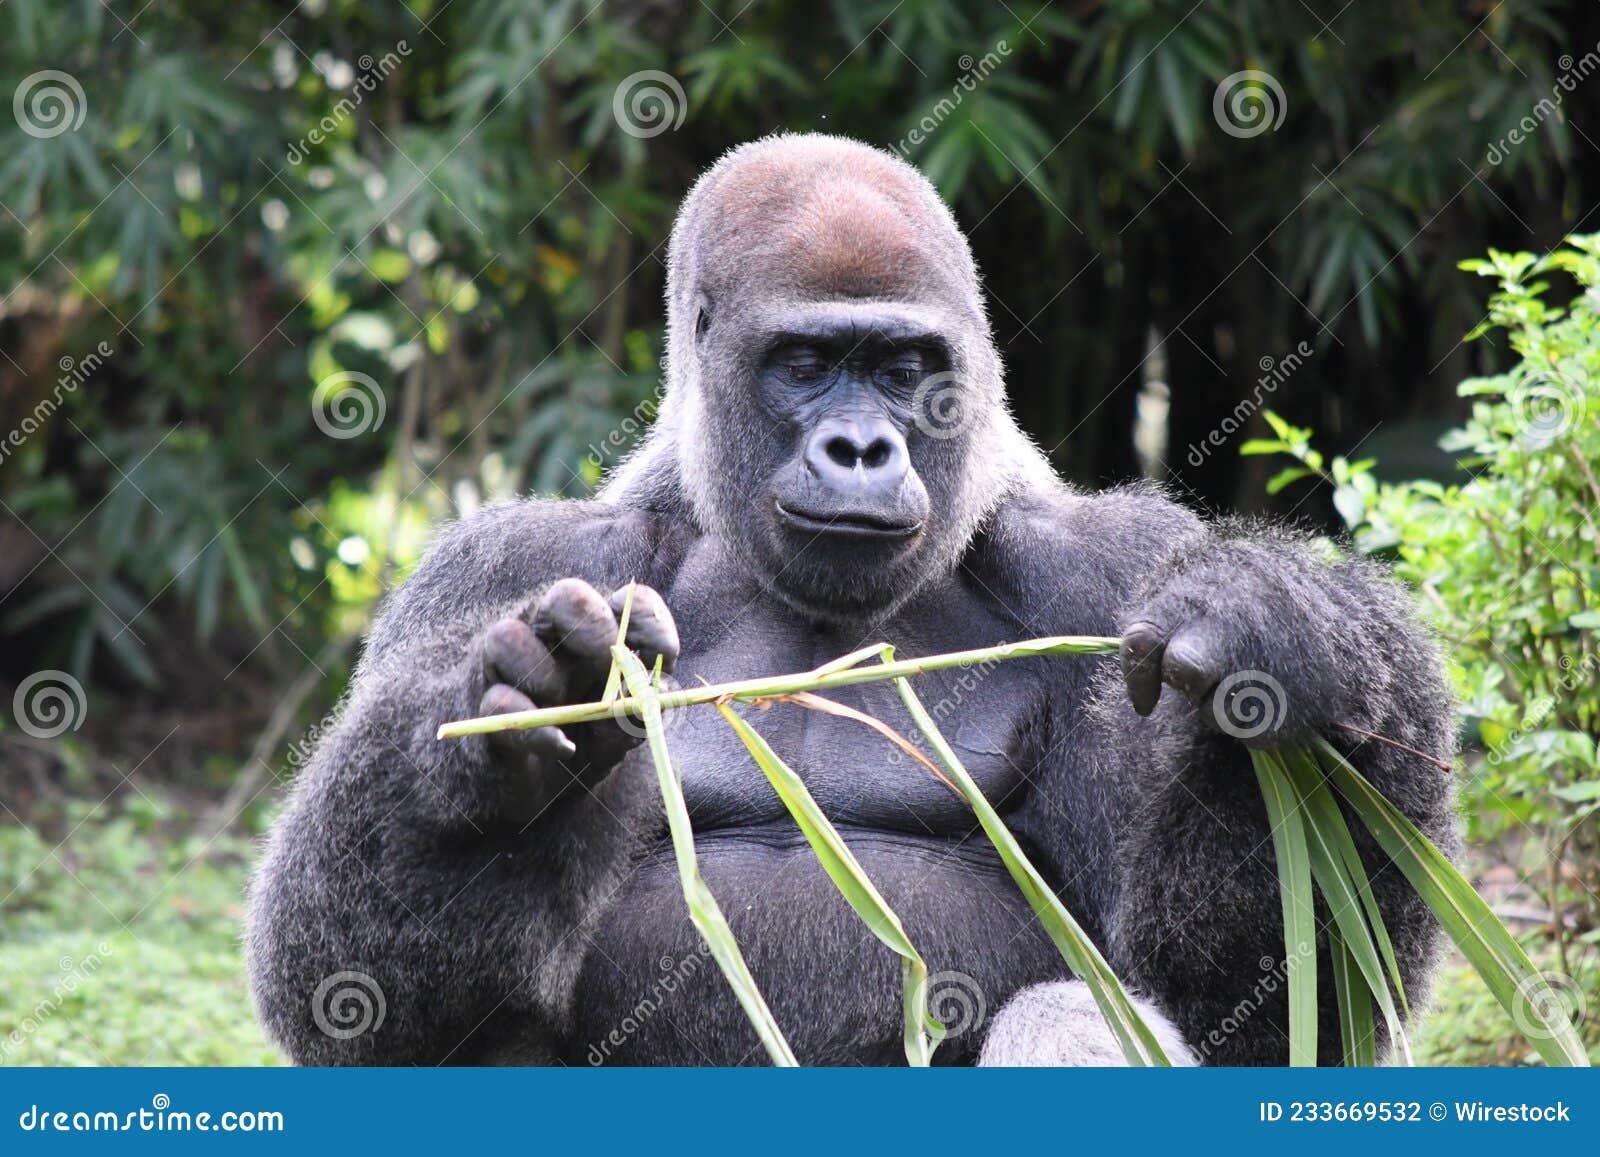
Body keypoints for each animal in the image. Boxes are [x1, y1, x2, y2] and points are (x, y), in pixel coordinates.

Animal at [245, 133, 1457, 1066]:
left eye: (905, 368)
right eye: (806, 362)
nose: (862, 447)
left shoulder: (1114, 571)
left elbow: (1248, 1007)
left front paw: (1289, 652)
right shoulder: (501, 562)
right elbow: (368, 1007)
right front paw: (515, 735)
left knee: (1078, 1011)